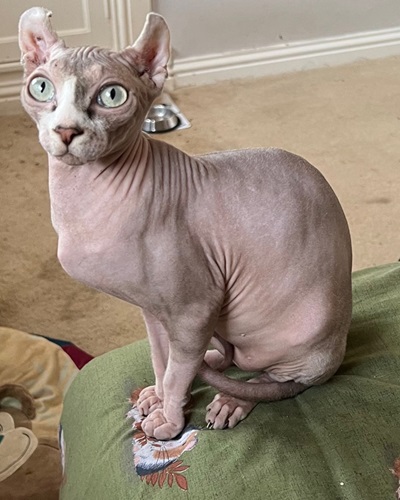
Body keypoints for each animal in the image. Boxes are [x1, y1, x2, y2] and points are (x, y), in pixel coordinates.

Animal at [19, 6, 350, 438]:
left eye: (112, 95)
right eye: (40, 88)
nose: (66, 130)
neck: (81, 198)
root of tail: (338, 355)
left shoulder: (193, 308)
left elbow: (177, 370)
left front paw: (169, 419)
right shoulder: (153, 310)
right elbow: (162, 361)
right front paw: (159, 398)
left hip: (299, 332)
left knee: (274, 380)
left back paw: (231, 399)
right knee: (224, 358)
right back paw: (208, 364)